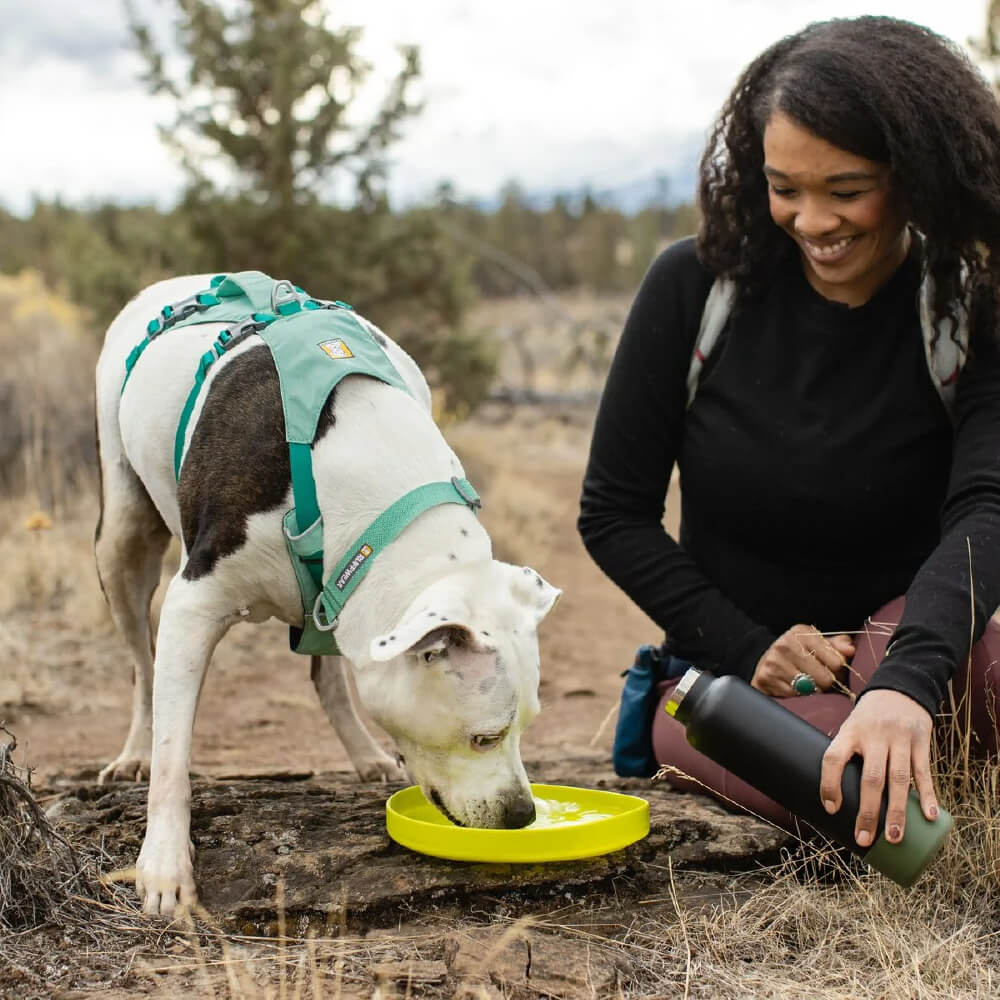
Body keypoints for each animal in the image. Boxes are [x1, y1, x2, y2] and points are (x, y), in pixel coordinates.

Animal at [94, 274, 560, 916]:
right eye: (484, 737)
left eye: (529, 725)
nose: (521, 815)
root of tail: (179, 282)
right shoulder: (194, 604)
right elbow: (173, 756)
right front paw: (164, 865)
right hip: (121, 537)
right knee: (142, 666)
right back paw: (134, 751)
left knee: (327, 675)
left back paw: (363, 753)